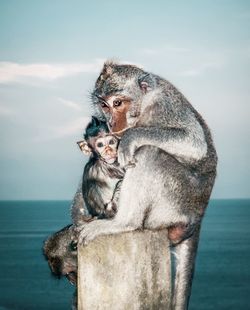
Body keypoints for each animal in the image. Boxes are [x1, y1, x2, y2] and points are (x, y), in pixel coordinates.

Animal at [79, 61, 217, 310]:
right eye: (104, 105)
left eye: (118, 103)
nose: (113, 124)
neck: (144, 105)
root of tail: (198, 216)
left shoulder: (166, 105)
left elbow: (194, 143)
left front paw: (132, 137)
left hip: (176, 202)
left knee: (149, 153)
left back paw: (123, 222)